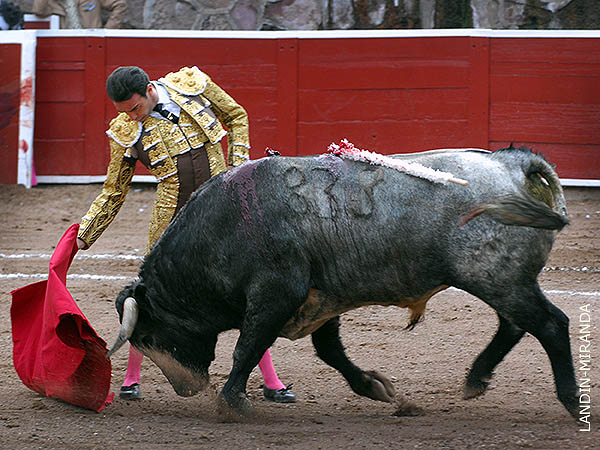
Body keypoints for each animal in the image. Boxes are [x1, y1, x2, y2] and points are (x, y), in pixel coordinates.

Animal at [106, 147, 576, 418]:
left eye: (148, 335)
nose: (186, 388)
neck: (224, 227)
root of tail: (512, 162)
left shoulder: (278, 294)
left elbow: (248, 345)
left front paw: (231, 402)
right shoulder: (320, 298)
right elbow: (329, 351)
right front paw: (377, 388)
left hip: (495, 277)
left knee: (550, 325)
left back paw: (570, 401)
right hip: (501, 279)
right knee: (515, 325)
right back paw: (476, 379)